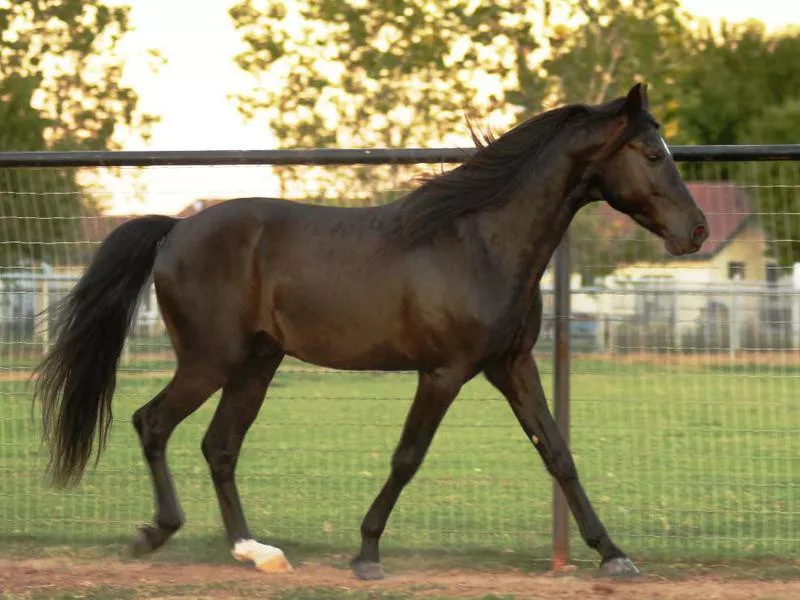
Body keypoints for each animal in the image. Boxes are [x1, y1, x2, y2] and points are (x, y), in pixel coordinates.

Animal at [32, 82, 708, 580]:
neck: (479, 242)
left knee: (219, 447)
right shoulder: (444, 372)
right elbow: (407, 456)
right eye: (653, 154)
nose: (697, 231)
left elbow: (558, 453)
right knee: (153, 423)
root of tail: (175, 229)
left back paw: (256, 552)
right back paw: (156, 532)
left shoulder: (511, 365)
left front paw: (613, 554)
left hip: (257, 365)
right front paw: (366, 553)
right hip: (209, 361)